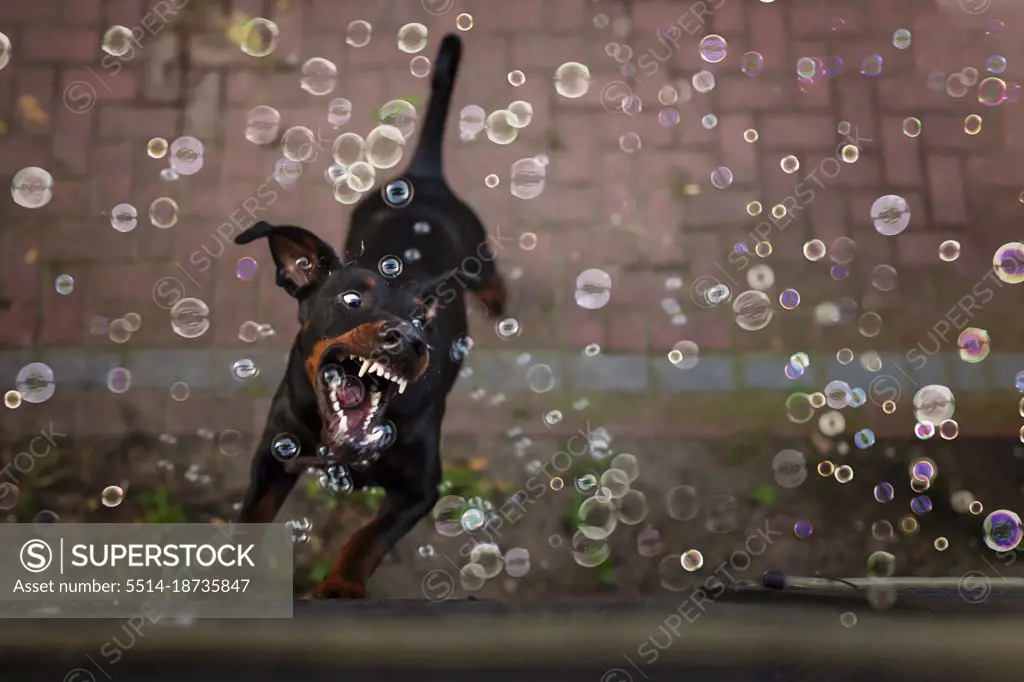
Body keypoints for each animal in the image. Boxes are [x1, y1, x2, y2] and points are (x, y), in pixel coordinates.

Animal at [232, 34, 503, 593]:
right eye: (351, 301)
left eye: (423, 319)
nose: (409, 341)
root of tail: (424, 176)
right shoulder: (275, 452)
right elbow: (253, 516)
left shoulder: (421, 488)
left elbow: (366, 540)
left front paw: (338, 587)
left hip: (479, 252)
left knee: (492, 278)